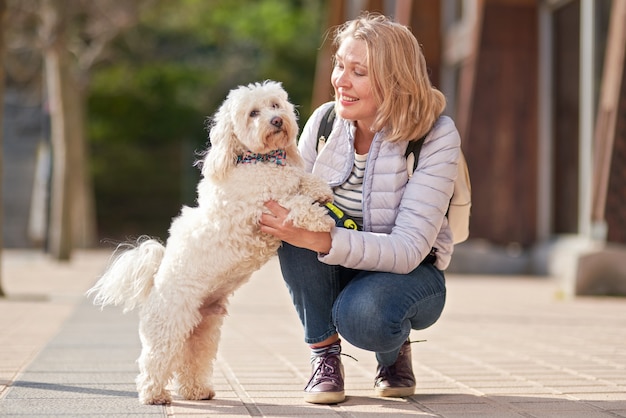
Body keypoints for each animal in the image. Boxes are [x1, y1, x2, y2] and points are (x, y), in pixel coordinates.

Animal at [86, 81, 336, 404]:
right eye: (253, 113)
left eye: (275, 105)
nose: (277, 121)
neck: (260, 160)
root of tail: (156, 279)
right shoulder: (261, 209)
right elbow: (294, 202)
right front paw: (321, 219)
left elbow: (302, 182)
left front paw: (320, 189)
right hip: (169, 325)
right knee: (154, 360)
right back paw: (154, 394)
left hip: (203, 328)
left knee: (193, 359)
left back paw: (197, 391)